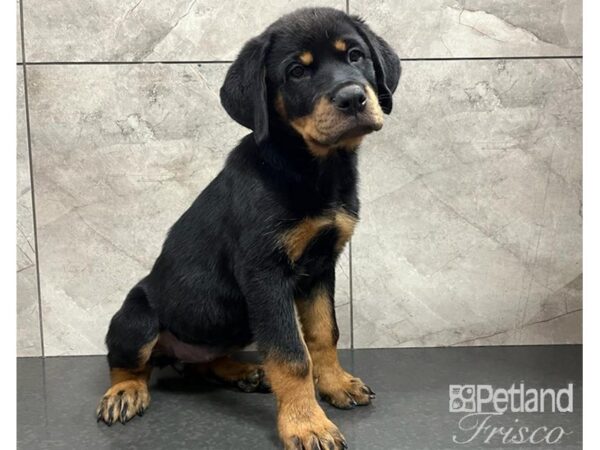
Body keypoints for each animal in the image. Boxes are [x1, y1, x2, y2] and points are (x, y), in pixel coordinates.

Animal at [96, 7, 400, 450]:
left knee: (202, 362)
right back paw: (124, 392)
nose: (352, 98)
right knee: (128, 362)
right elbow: (291, 355)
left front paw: (335, 385)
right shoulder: (265, 274)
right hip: (137, 317)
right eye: (296, 72)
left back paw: (244, 373)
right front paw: (306, 423)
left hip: (233, 325)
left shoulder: (320, 268)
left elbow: (323, 334)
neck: (311, 168)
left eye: (355, 55)